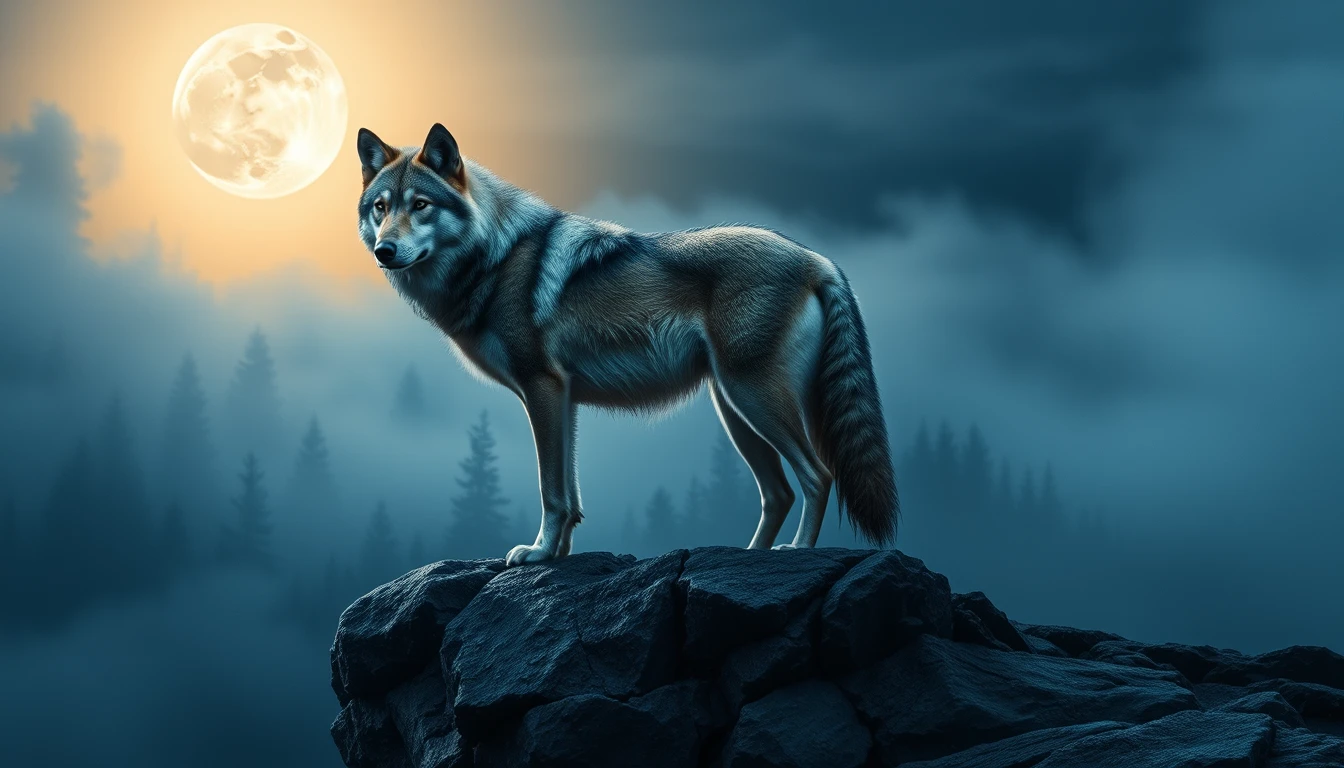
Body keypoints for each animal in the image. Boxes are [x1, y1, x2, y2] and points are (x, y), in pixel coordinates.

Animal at [356, 124, 898, 566]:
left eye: (420, 205)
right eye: (381, 208)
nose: (385, 250)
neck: (493, 255)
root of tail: (817, 258)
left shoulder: (543, 389)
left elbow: (551, 491)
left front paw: (537, 554)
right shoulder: (564, 399)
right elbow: (571, 496)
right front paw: (558, 556)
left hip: (753, 400)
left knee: (817, 476)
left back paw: (796, 553)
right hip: (735, 409)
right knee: (779, 492)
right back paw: (749, 556)